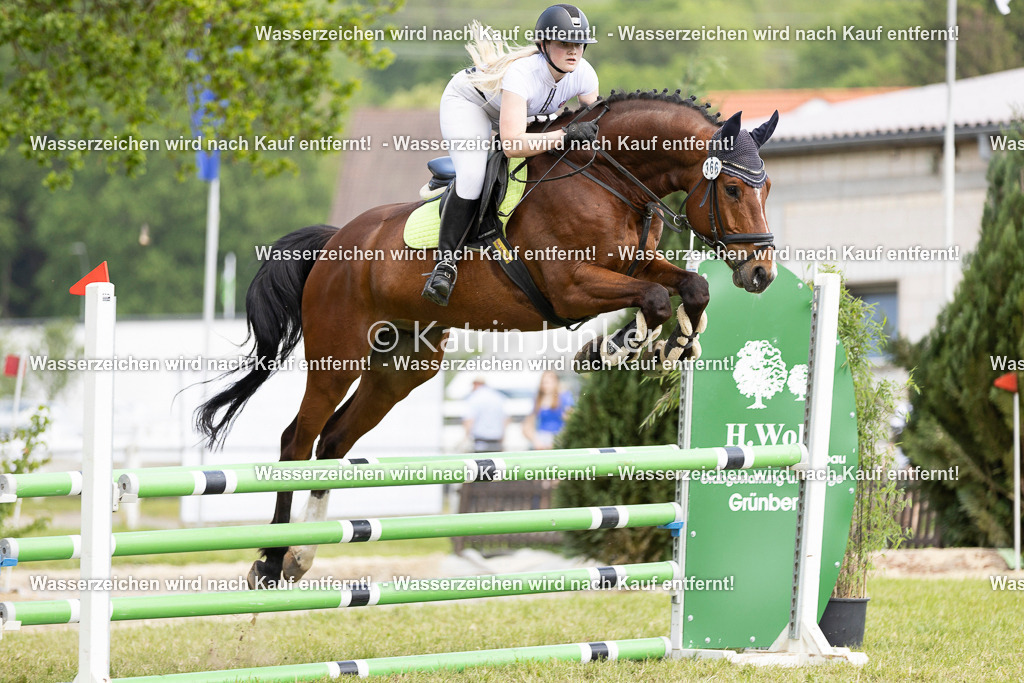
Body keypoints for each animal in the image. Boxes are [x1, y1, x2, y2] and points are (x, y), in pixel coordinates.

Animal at [195, 89, 778, 589]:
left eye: (766, 187)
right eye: (732, 188)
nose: (761, 274)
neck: (607, 177)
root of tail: (335, 241)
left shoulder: (635, 264)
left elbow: (690, 286)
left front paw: (673, 344)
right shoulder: (571, 287)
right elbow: (655, 298)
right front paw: (608, 351)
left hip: (403, 368)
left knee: (335, 441)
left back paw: (303, 555)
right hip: (337, 357)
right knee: (297, 441)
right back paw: (271, 561)